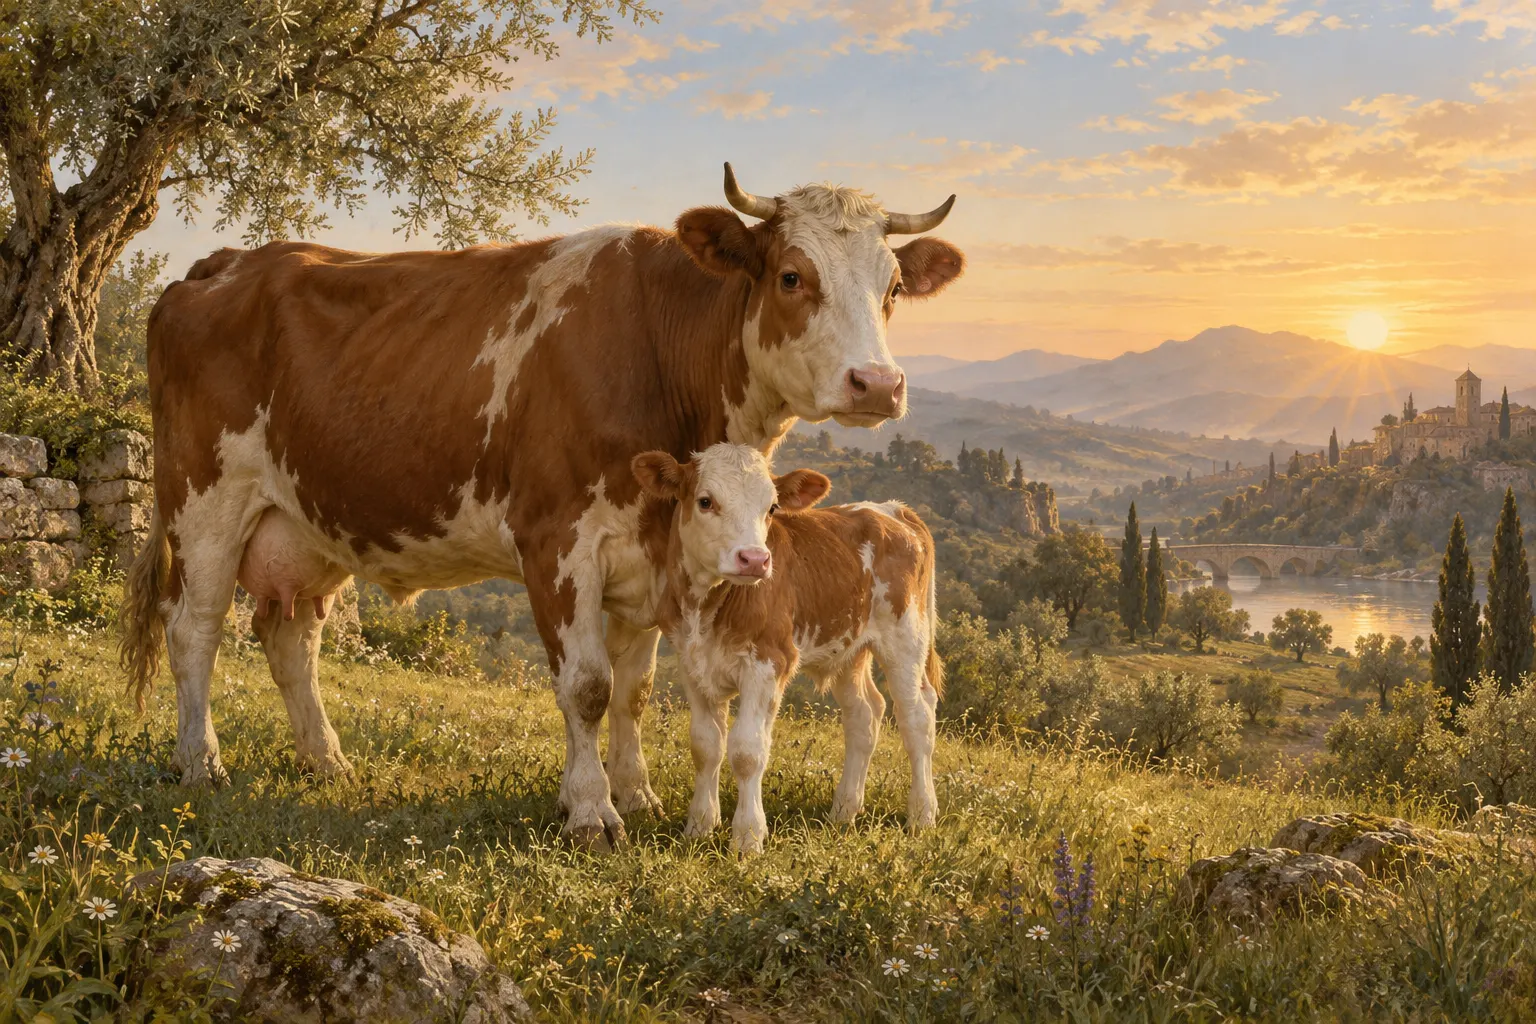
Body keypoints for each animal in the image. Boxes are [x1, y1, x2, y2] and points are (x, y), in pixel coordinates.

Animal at [629, 444, 943, 853]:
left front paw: (747, 837)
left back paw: (922, 814)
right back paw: (844, 810)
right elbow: (705, 745)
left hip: (906, 636)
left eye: (772, 507)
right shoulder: (691, 662)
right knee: (864, 714)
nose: (755, 559)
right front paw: (699, 827)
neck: (706, 607)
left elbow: (747, 751)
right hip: (848, 645)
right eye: (705, 501)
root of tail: (891, 509)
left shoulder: (769, 662)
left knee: (916, 716)